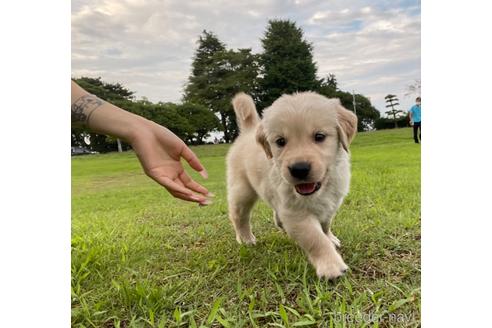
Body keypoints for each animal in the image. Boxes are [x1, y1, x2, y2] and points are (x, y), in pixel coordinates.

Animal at [227, 91, 358, 280]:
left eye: (319, 136)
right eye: (280, 141)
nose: (299, 169)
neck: (320, 190)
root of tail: (248, 130)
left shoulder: (332, 201)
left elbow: (325, 224)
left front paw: (330, 238)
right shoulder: (296, 213)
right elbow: (315, 238)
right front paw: (331, 265)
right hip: (242, 190)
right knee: (239, 215)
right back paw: (245, 238)